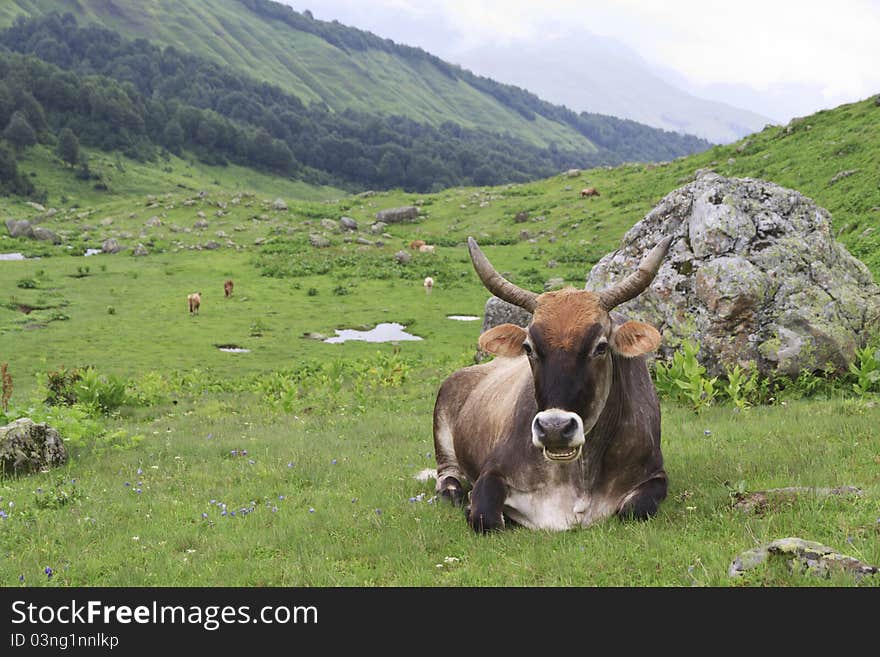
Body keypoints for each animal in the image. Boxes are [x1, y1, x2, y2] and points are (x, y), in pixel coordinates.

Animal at [430, 236, 672, 532]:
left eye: (601, 347)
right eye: (528, 347)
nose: (554, 428)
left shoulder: (655, 475)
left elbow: (634, 509)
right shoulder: (493, 471)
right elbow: (485, 516)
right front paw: (470, 507)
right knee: (447, 471)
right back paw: (451, 490)